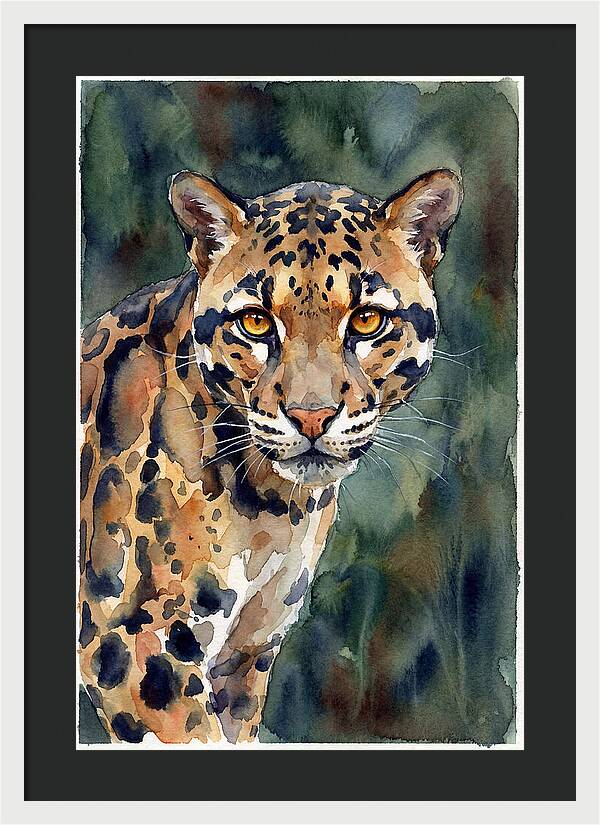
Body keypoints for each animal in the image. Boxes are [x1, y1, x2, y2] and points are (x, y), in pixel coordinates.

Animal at [79, 167, 463, 745]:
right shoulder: (132, 643)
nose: (312, 416)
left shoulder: (244, 656)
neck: (272, 508)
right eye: (256, 323)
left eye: (368, 321)